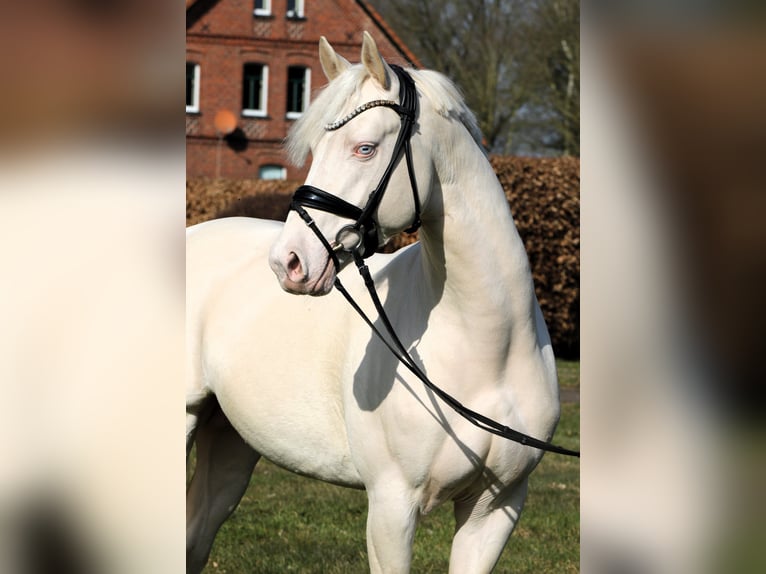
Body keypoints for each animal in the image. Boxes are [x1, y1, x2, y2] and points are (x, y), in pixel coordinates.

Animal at [184, 32, 560, 574]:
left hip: (229, 439)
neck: (488, 348)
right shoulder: (391, 505)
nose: (289, 262)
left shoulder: (496, 510)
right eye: (315, 149)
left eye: (365, 148)